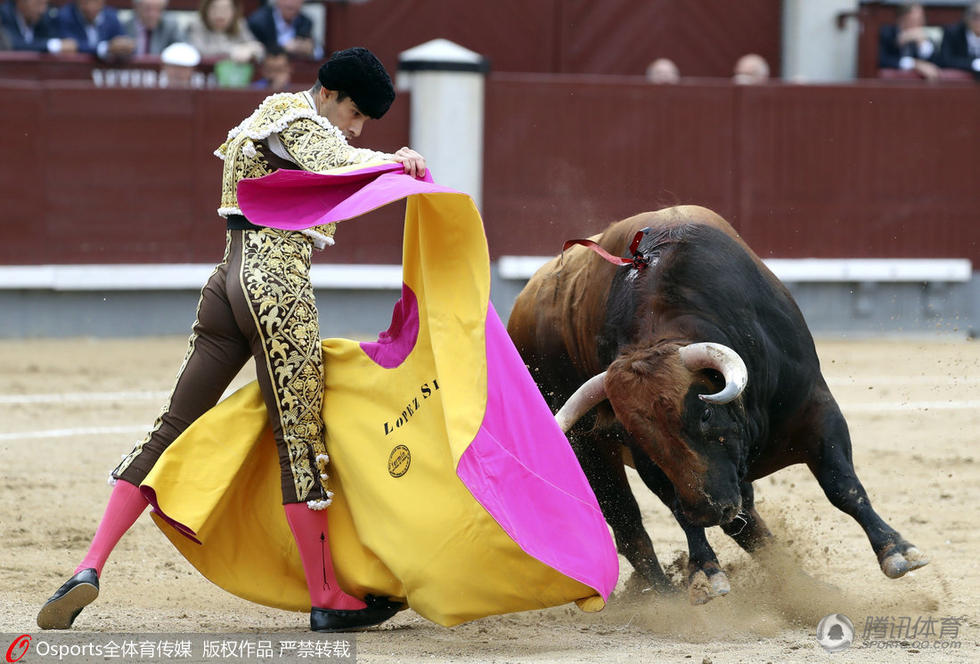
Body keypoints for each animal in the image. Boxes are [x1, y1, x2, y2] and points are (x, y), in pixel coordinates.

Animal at [510, 205, 932, 604]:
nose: (708, 510)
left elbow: (842, 485)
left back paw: (804, 587)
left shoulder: (816, 409)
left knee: (744, 522)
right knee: (634, 527)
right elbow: (680, 510)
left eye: (705, 412)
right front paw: (704, 573)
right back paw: (668, 599)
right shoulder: (654, 466)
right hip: (590, 452)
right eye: (640, 436)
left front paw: (898, 551)